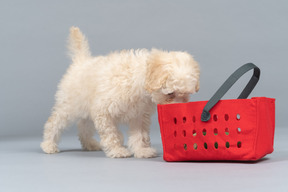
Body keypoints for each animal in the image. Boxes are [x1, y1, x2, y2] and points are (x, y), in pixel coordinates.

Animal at [40, 26, 199, 158]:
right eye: (170, 93)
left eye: (185, 96)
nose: (178, 113)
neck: (138, 79)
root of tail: (80, 61)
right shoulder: (104, 111)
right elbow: (111, 133)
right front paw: (118, 150)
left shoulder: (140, 114)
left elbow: (140, 135)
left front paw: (142, 150)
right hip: (69, 106)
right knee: (54, 122)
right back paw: (48, 144)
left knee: (83, 126)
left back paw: (90, 144)